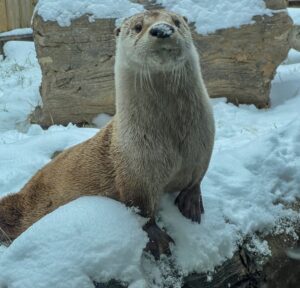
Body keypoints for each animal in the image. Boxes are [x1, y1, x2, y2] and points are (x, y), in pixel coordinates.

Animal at [0, 9, 216, 258]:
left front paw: (191, 204)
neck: (174, 137)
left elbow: (196, 179)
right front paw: (159, 241)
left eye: (177, 22)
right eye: (138, 26)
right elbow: (141, 210)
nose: (162, 30)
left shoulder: (203, 145)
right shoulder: (134, 169)